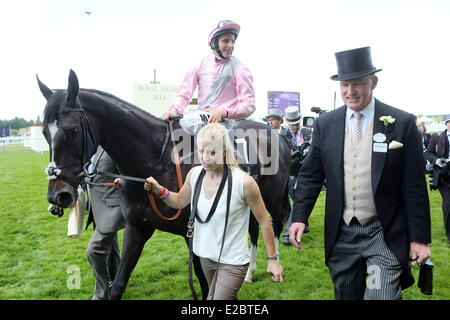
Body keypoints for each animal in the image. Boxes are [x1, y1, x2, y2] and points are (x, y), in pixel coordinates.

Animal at [37, 70, 290, 300]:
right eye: (44, 132)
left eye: (72, 130)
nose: (57, 195)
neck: (157, 162)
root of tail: (278, 134)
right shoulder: (137, 227)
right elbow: (117, 285)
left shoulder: (193, 234)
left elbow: (204, 282)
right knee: (254, 228)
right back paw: (248, 273)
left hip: (272, 198)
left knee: (274, 223)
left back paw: (273, 266)